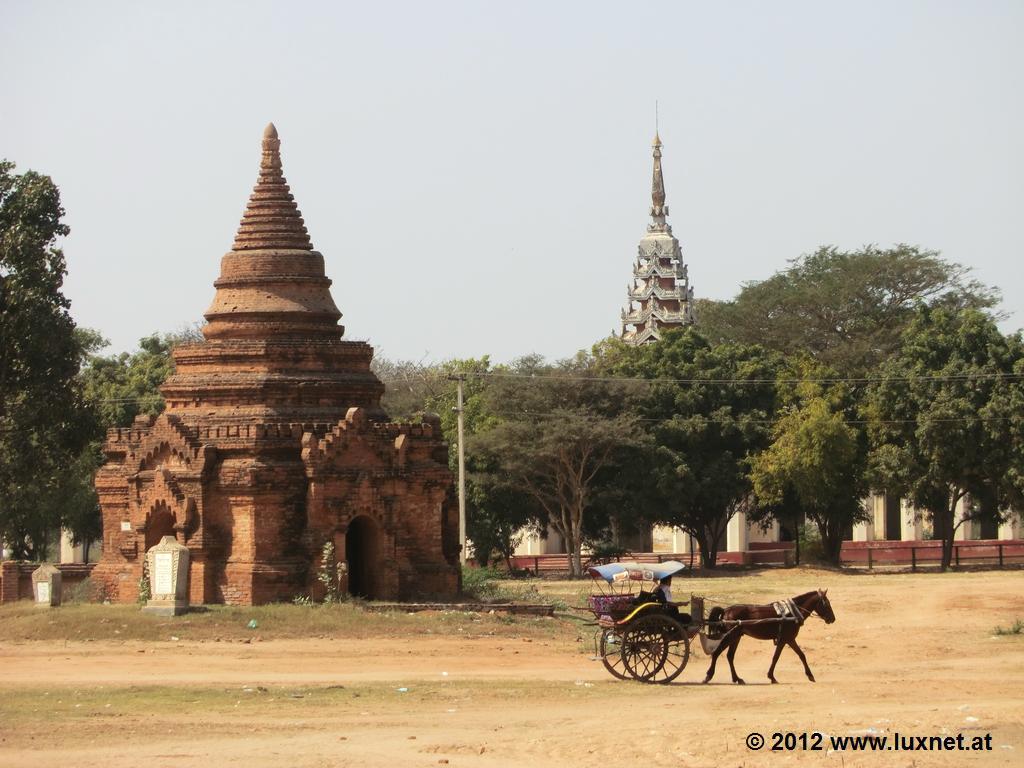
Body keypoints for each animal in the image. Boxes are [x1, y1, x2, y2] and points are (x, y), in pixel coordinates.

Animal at [700, 589, 835, 684]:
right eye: (826, 604)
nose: (833, 619)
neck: (792, 613)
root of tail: (726, 610)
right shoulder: (786, 639)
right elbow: (780, 657)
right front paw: (772, 677)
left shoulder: (788, 639)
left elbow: (798, 655)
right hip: (731, 636)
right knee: (717, 653)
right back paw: (708, 676)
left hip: (736, 637)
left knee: (730, 656)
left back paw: (737, 679)